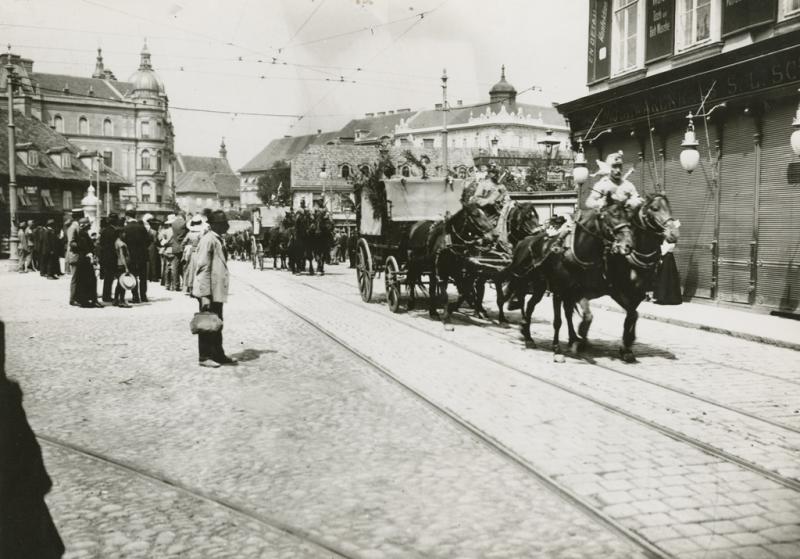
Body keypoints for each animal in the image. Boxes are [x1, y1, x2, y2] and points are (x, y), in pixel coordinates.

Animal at [496, 202, 636, 358]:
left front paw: (579, 339)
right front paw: (557, 347)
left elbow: (586, 315)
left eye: (628, 217)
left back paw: (528, 335)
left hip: (539, 285)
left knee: (530, 304)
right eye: (610, 217)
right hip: (521, 277)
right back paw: (513, 321)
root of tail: (523, 242)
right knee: (514, 294)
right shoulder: (559, 292)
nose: (628, 245)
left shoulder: (579, 291)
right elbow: (558, 320)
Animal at [556, 195, 680, 366]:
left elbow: (632, 315)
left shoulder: (638, 294)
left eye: (669, 208)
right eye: (655, 208)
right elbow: (629, 314)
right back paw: (575, 339)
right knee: (568, 311)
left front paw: (627, 346)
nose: (674, 233)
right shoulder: (615, 290)